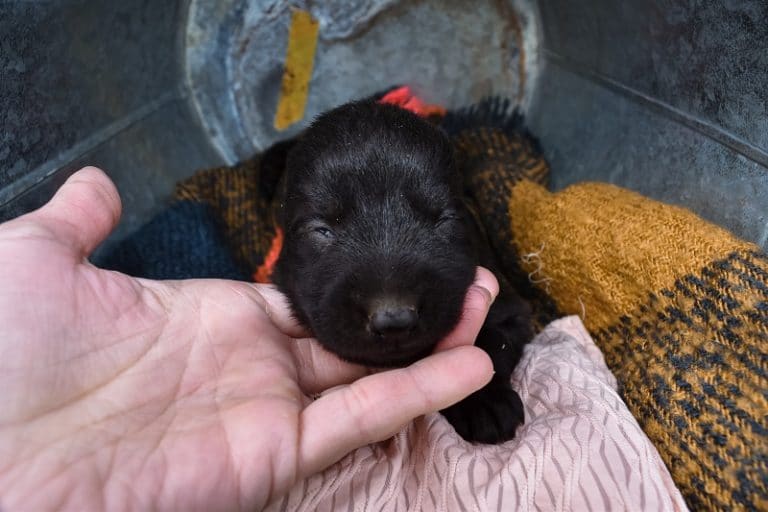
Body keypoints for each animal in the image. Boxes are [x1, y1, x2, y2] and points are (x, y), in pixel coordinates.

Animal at [272, 101, 536, 444]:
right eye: (321, 229)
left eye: (444, 219)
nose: (394, 318)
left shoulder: (509, 306)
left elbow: (493, 340)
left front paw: (485, 400)